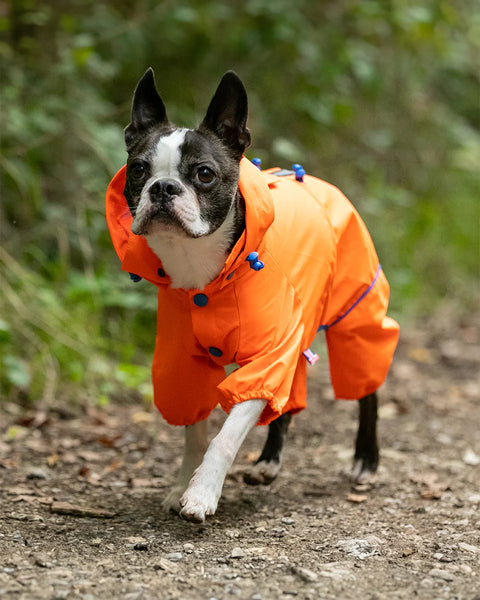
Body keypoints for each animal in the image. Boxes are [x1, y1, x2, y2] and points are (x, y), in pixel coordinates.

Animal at [106, 69, 402, 520]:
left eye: (204, 174)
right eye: (138, 169)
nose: (163, 187)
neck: (203, 273)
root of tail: (318, 181)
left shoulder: (265, 358)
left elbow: (225, 436)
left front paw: (202, 493)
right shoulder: (185, 364)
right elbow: (196, 433)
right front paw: (181, 484)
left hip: (355, 310)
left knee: (366, 383)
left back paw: (365, 460)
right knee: (290, 395)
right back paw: (268, 463)